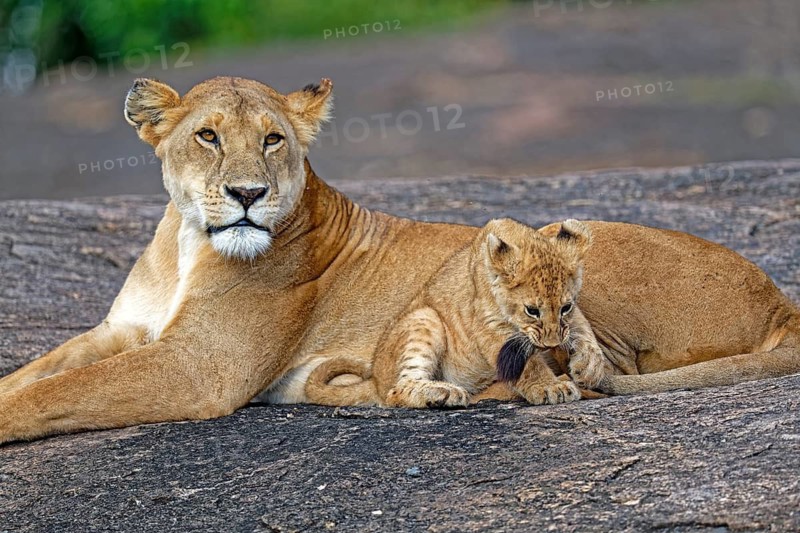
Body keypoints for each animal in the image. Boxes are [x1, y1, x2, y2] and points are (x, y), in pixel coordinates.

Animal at [304, 218, 609, 408]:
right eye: (532, 311)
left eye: (565, 307)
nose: (551, 344)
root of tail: (376, 380)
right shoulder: (490, 327)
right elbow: (529, 364)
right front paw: (549, 387)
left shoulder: (570, 317)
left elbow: (582, 328)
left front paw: (589, 367)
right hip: (425, 318)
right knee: (396, 391)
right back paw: (441, 393)